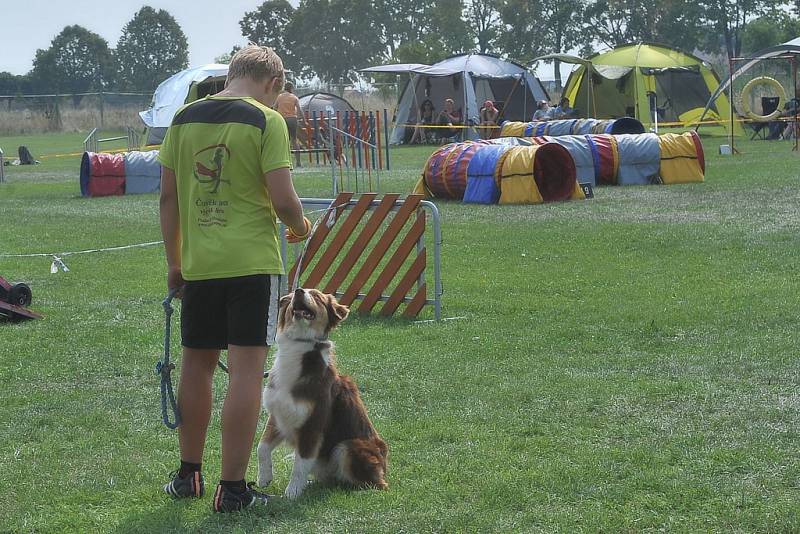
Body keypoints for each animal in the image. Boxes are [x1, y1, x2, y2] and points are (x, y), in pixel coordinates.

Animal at [258, 288, 390, 498]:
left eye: (317, 297)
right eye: (293, 295)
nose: (298, 291)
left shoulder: (313, 424)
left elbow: (300, 464)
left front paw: (292, 493)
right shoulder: (278, 415)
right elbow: (261, 447)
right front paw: (264, 478)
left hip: (347, 446)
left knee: (371, 484)